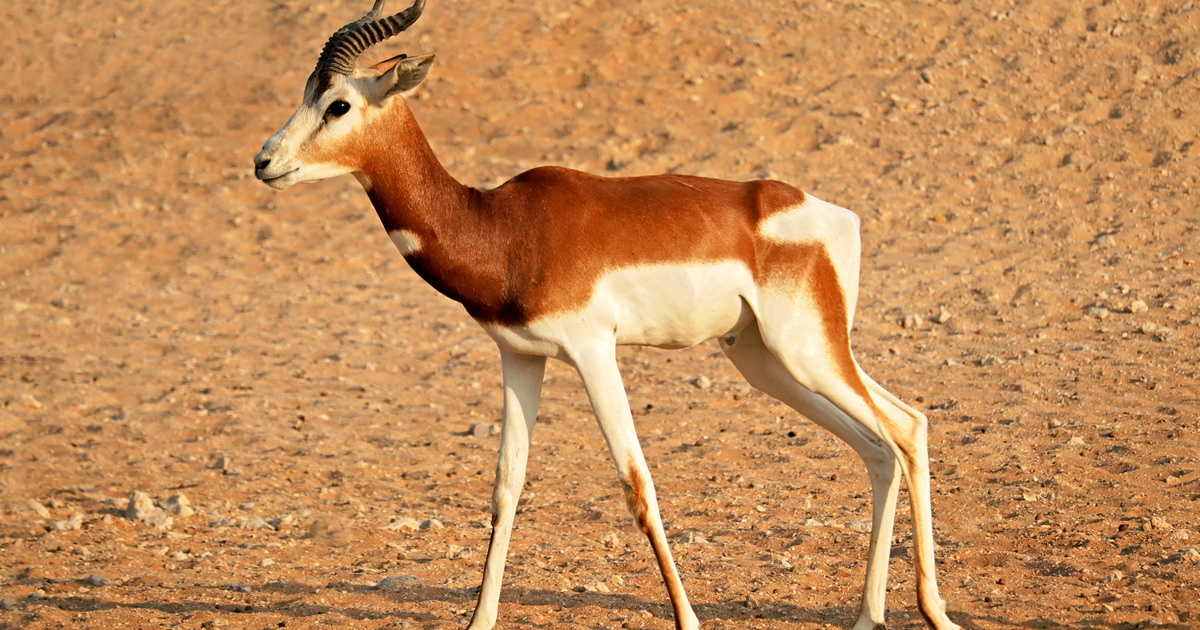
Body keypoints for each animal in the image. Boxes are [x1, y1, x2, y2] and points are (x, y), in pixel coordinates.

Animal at [253, 1, 961, 629]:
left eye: (338, 104)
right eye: (306, 93)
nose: (264, 161)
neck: (500, 227)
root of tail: (833, 214)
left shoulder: (594, 351)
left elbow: (636, 484)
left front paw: (688, 620)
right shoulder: (519, 356)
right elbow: (506, 486)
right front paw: (479, 619)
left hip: (808, 351)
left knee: (900, 431)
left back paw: (931, 612)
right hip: (767, 360)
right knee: (887, 439)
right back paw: (876, 616)